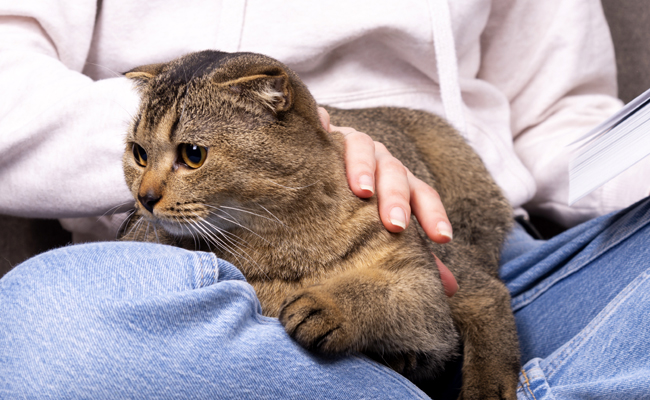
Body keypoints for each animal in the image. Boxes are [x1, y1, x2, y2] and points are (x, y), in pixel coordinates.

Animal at [119, 50, 520, 400]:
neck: (284, 236)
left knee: (490, 292)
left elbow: (384, 292)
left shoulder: (423, 286)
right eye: (139, 153)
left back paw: (488, 387)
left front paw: (329, 305)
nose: (145, 198)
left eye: (193, 155)